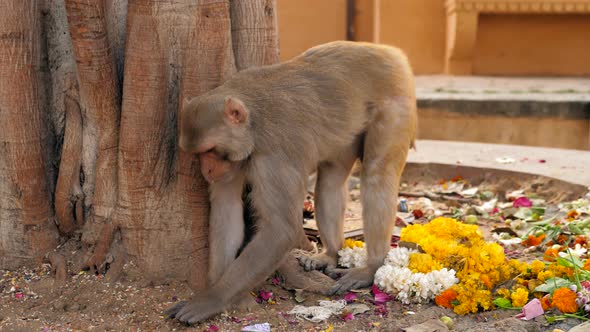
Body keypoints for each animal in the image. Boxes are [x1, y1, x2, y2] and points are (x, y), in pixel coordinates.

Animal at [169, 40, 418, 324]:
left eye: (210, 150)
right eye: (199, 154)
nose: (207, 169)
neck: (253, 124)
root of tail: (387, 50)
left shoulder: (275, 156)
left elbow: (280, 229)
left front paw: (213, 299)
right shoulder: (235, 162)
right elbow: (227, 207)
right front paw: (222, 290)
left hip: (396, 101)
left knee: (378, 176)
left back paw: (371, 267)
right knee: (331, 180)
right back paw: (330, 254)